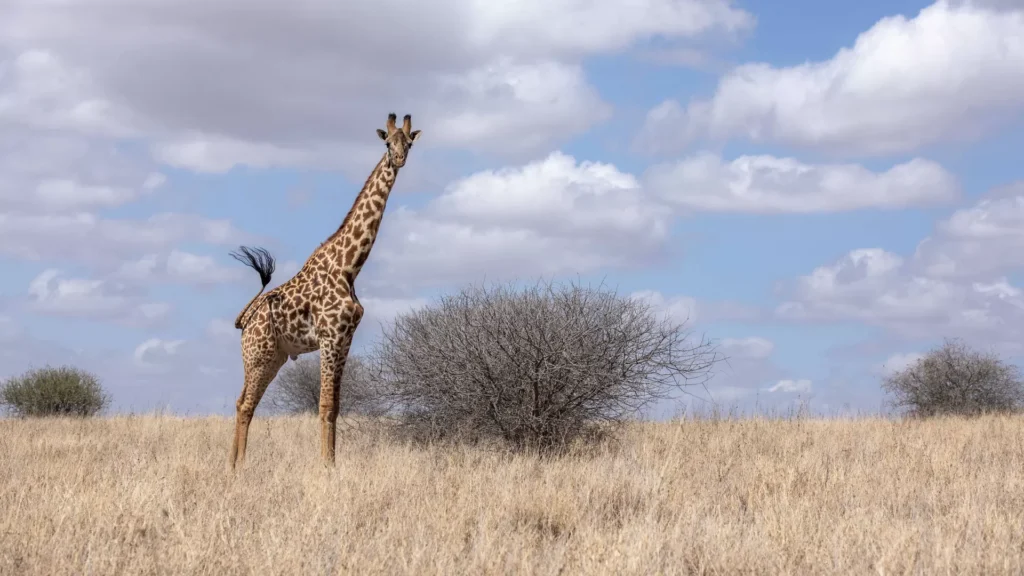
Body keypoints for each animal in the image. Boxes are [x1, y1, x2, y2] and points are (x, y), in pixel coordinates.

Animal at [226, 112, 421, 469]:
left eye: (409, 143)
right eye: (388, 143)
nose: (399, 159)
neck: (350, 266)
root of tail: (245, 320)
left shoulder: (345, 338)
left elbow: (336, 405)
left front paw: (332, 462)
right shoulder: (330, 336)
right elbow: (325, 405)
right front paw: (326, 467)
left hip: (273, 357)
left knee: (242, 401)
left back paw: (232, 464)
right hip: (258, 354)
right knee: (246, 404)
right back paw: (241, 466)